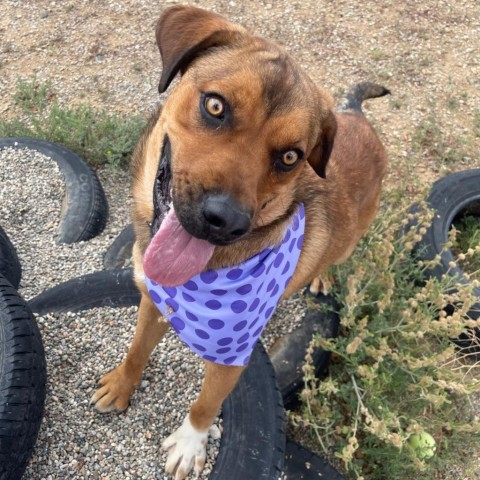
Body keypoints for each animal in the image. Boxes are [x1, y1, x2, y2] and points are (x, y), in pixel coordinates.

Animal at [91, 5, 390, 478]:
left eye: (290, 157)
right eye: (215, 105)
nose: (223, 220)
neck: (206, 274)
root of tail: (358, 118)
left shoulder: (233, 357)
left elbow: (205, 404)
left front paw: (190, 443)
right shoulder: (153, 300)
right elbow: (137, 349)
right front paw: (122, 384)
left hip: (351, 236)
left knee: (336, 256)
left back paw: (322, 277)